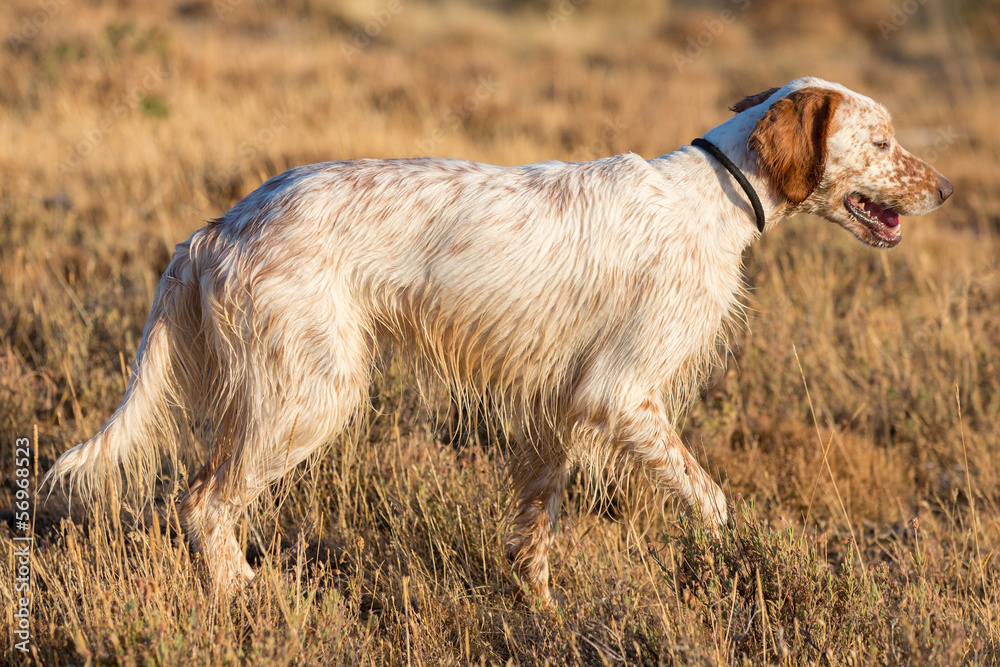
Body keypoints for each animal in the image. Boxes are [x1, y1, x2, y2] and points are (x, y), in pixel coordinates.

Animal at [45, 78, 952, 604]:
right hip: (310, 394)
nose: (945, 188)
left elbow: (535, 529)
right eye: (880, 142)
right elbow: (716, 500)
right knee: (203, 501)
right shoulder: (624, 395)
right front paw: (740, 559)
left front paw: (541, 608)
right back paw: (245, 596)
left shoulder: (564, 405)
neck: (717, 195)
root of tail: (217, 226)